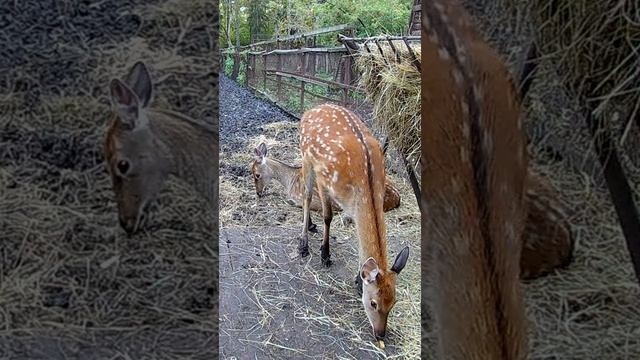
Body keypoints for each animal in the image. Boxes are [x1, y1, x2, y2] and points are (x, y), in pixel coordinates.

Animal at [298, 102, 410, 342]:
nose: (380, 334)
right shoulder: (326, 180)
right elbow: (328, 216)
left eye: (394, 302)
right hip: (306, 157)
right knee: (306, 193)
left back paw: (310, 226)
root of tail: (312, 108)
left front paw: (358, 279)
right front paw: (325, 255)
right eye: (373, 303)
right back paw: (303, 244)